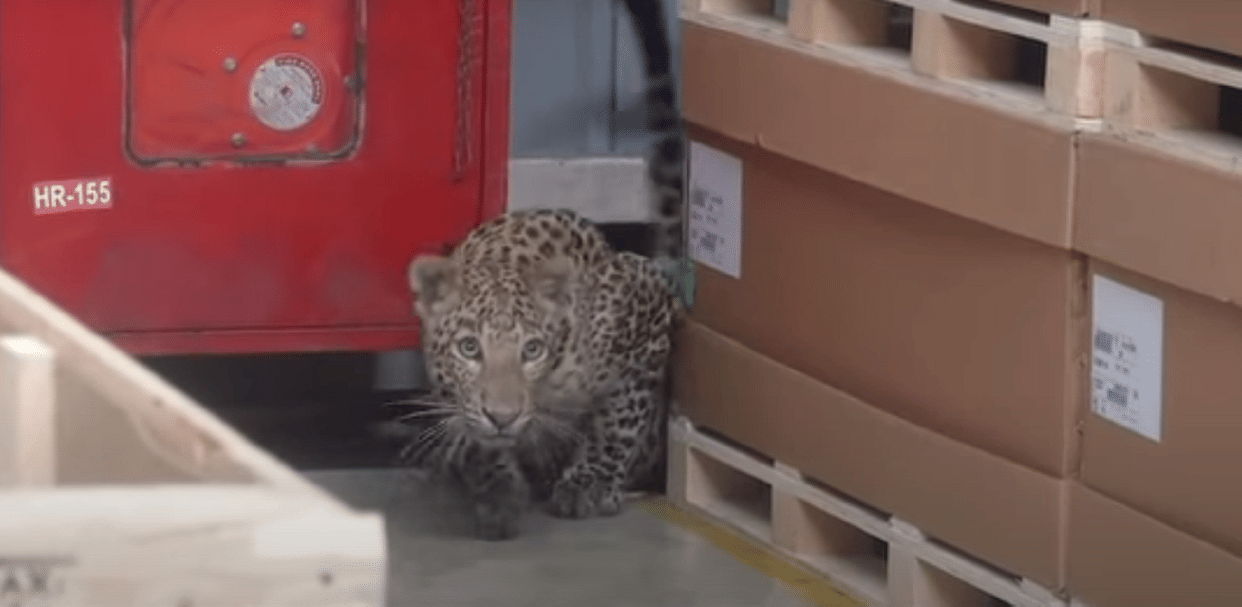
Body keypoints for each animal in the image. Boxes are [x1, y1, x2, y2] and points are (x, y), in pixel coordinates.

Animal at [392, 0, 686, 541]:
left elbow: (619, 417)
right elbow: (477, 435)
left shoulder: (646, 307)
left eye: (532, 350)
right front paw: (498, 488)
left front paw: (591, 481)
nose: (504, 417)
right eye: (469, 349)